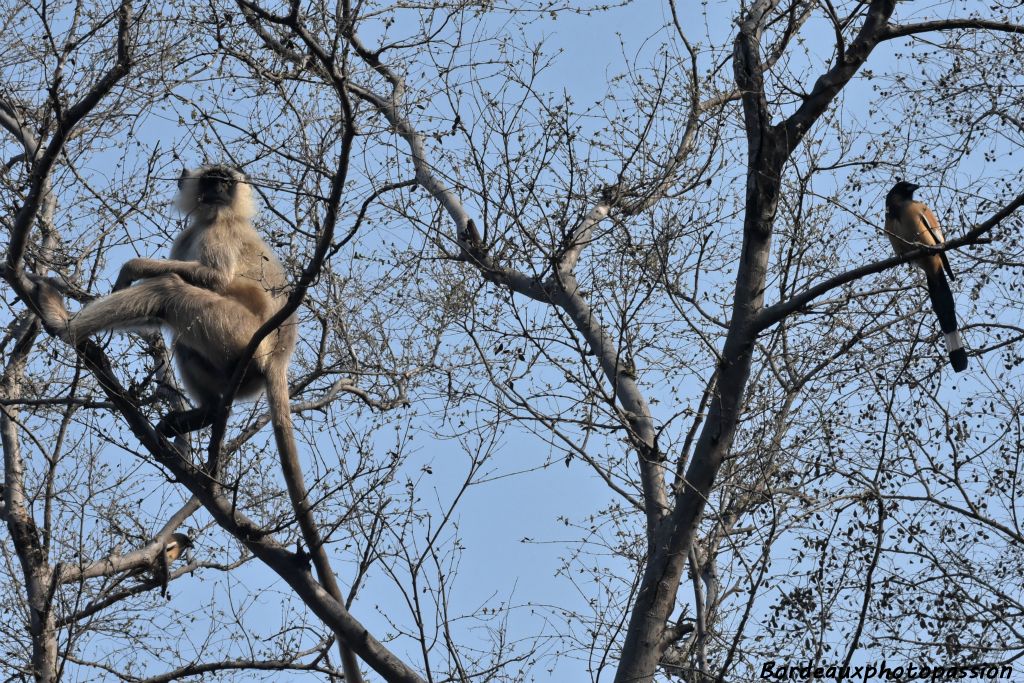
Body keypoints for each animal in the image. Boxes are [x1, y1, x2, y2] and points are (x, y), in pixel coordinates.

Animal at [34, 162, 299, 436]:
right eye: (211, 180)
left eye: (226, 182)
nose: (218, 189)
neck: (210, 219)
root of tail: (278, 358)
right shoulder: (189, 234)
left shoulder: (222, 227)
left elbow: (217, 279)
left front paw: (132, 268)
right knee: (182, 340)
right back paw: (208, 413)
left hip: (240, 332)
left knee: (168, 289)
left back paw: (63, 325)